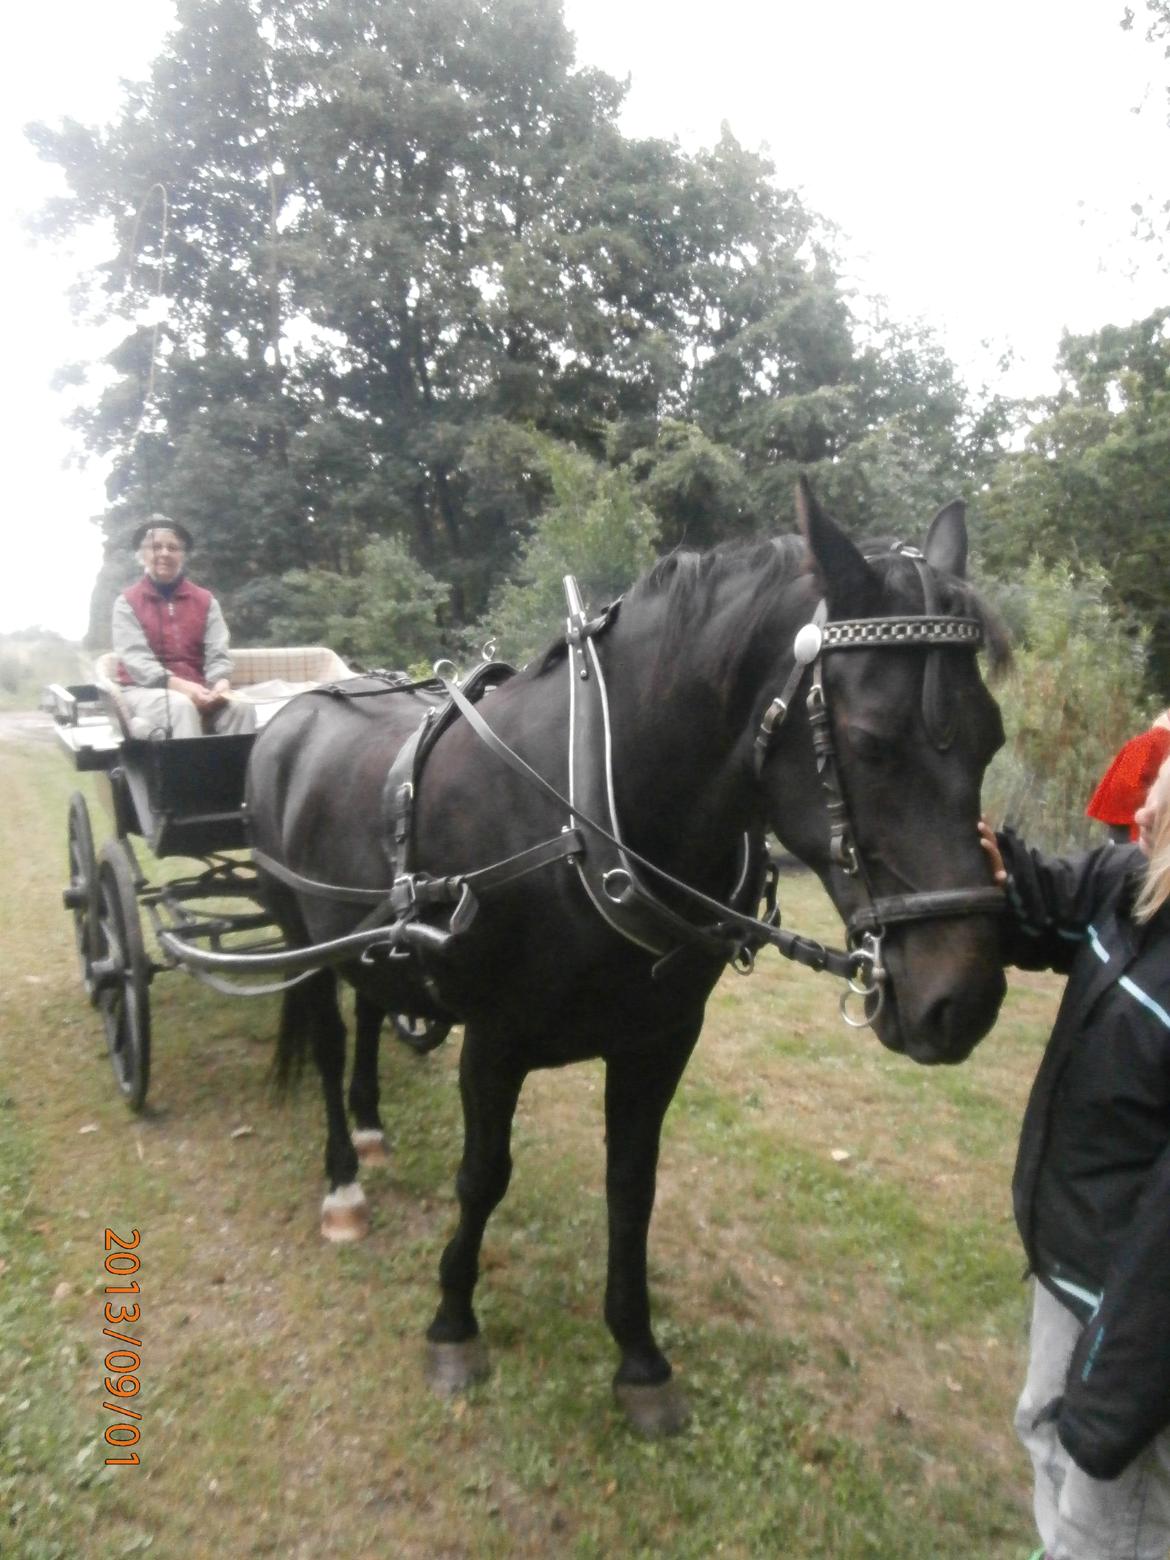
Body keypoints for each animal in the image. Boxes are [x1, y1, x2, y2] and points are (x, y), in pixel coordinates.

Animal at [244, 480, 1010, 1428]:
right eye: (870, 741)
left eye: (993, 737)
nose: (964, 1000)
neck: (588, 809)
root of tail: (294, 711)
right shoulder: (495, 1042)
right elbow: (482, 1176)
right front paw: (454, 1321)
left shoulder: (658, 1040)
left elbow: (632, 1187)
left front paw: (639, 1356)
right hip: (302, 937)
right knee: (324, 1036)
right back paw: (344, 1184)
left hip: (375, 941)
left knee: (371, 1005)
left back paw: (372, 1127)